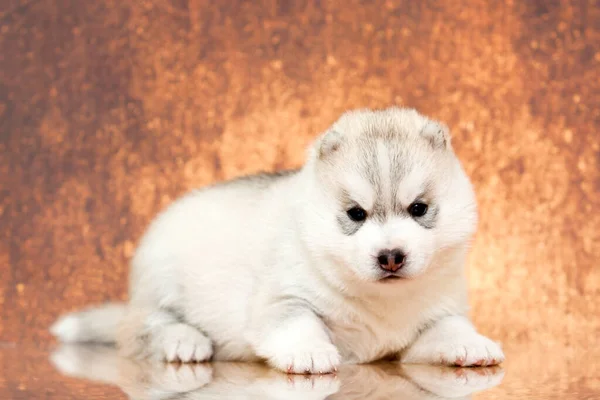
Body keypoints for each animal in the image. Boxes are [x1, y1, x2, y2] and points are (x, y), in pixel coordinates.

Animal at [51, 107, 504, 376]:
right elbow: (298, 321)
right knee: (143, 328)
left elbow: (449, 326)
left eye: (419, 208)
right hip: (159, 282)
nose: (391, 256)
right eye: (356, 214)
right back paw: (185, 341)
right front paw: (310, 351)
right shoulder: (283, 298)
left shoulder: (435, 313)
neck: (381, 302)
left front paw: (471, 344)